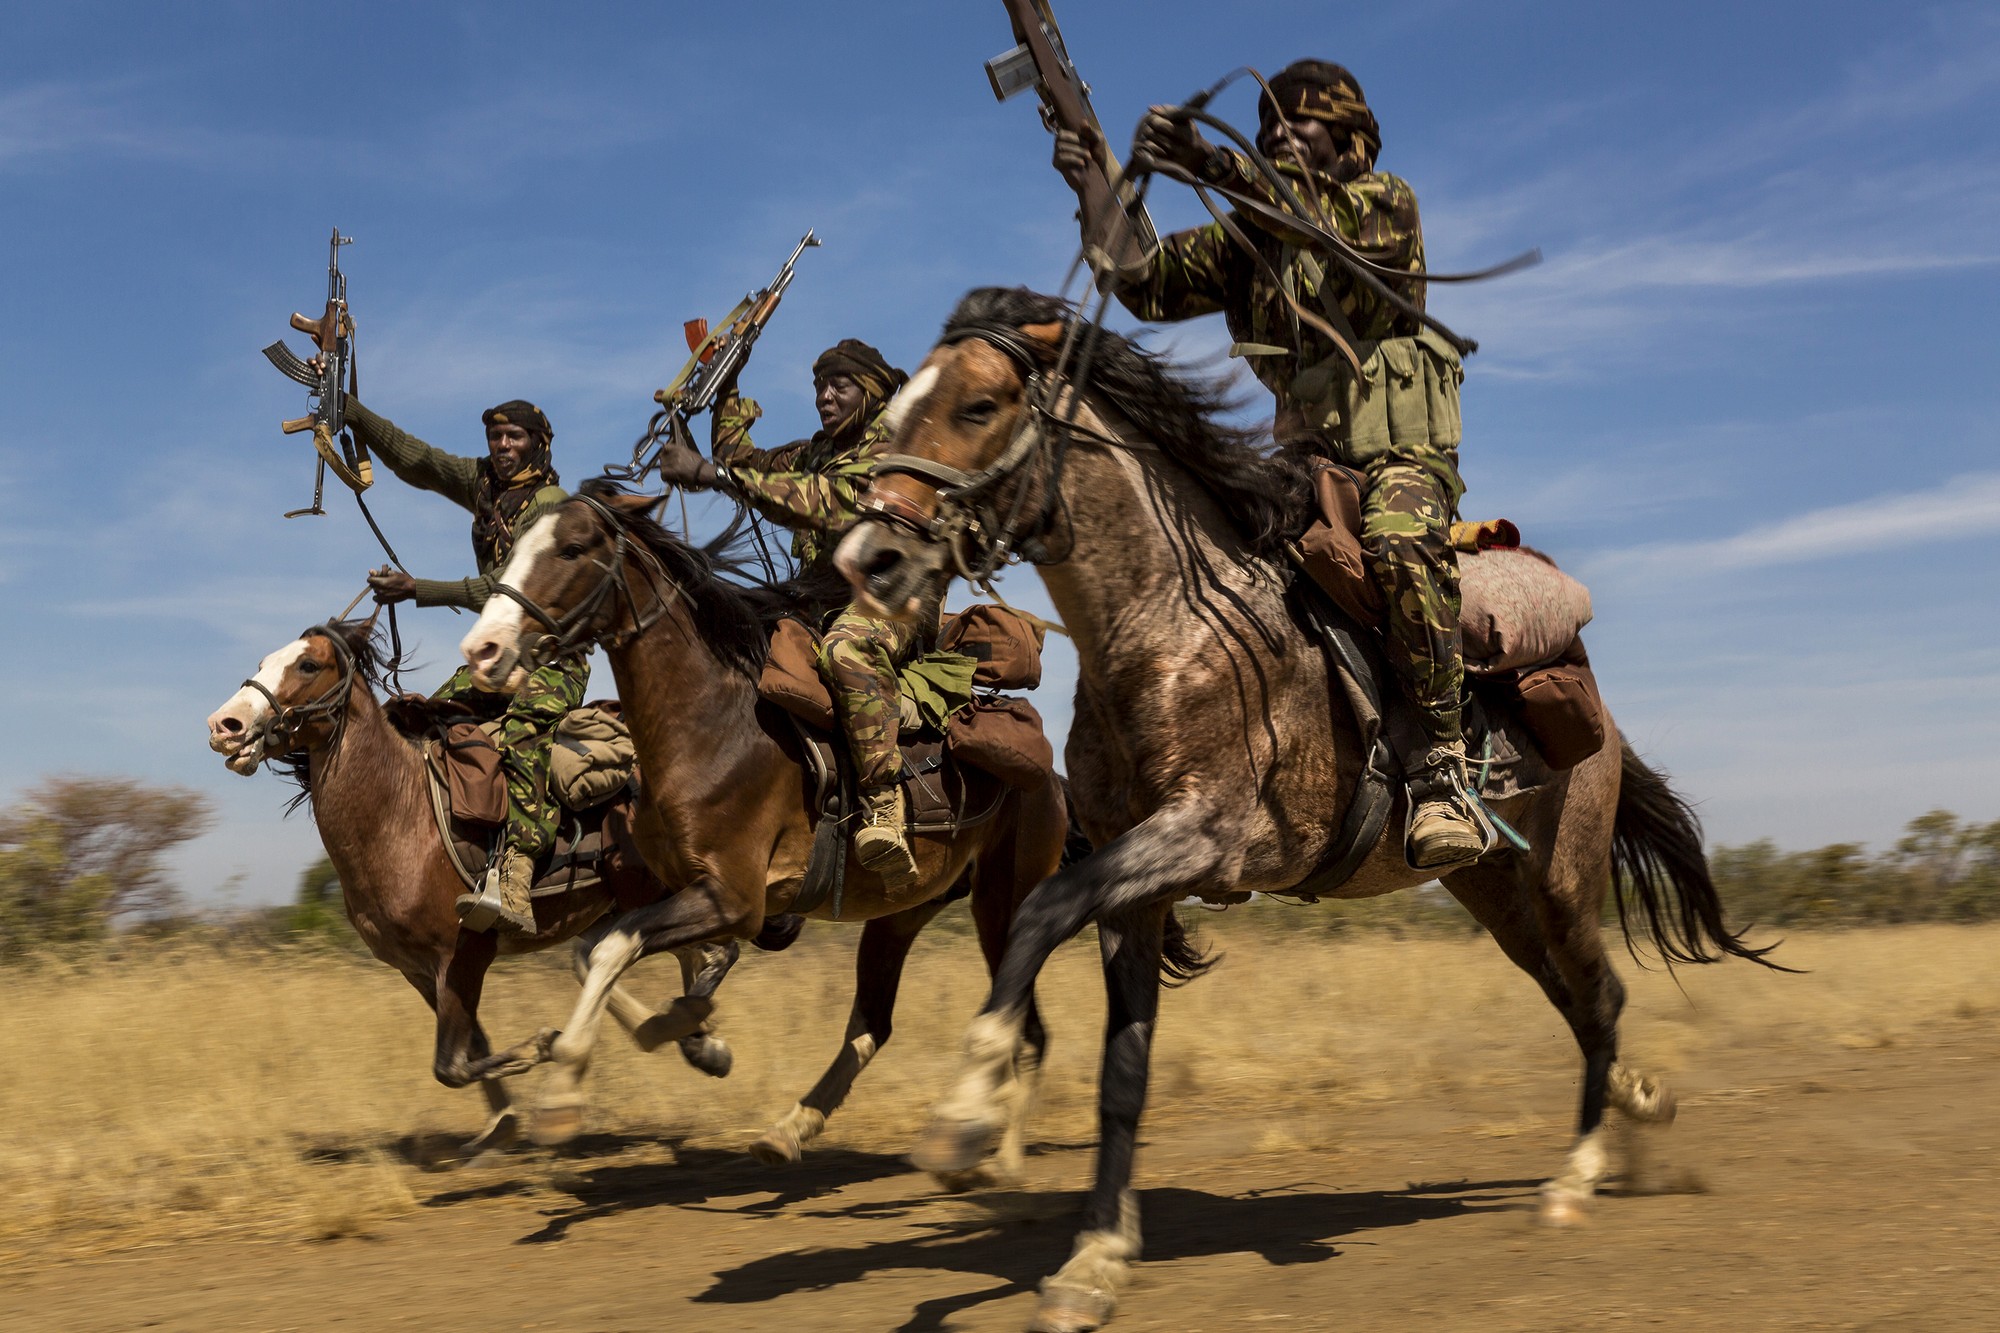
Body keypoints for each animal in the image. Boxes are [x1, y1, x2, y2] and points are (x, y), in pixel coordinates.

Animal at [209, 624, 744, 1152]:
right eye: (263, 663)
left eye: (307, 664)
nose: (224, 725)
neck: (399, 816)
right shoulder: (419, 971)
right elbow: (468, 1052)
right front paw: (503, 1123)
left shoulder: (462, 956)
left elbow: (450, 1065)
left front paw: (540, 1047)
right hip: (626, 904)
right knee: (645, 955)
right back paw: (695, 1038)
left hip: (663, 893)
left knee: (712, 949)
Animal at [454, 490, 1080, 1176]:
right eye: (514, 546)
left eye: (570, 549)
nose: (483, 650)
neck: (713, 726)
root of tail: (1052, 779)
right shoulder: (684, 894)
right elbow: (602, 954)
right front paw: (687, 1032)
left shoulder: (735, 899)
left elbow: (617, 949)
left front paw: (563, 1092)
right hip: (902, 913)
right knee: (873, 1025)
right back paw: (791, 1130)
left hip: (1004, 904)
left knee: (1026, 1025)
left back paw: (994, 1152)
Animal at [832, 290, 1784, 1328]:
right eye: (895, 412)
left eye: (979, 405)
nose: (870, 556)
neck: (1174, 628)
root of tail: (1600, 709)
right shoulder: (1136, 888)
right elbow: (1123, 1073)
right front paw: (1095, 1260)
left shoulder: (1207, 841)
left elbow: (1040, 915)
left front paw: (966, 1117)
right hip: (1496, 895)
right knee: (1574, 999)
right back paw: (1636, 1105)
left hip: (1562, 879)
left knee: (1601, 994)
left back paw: (1576, 1176)